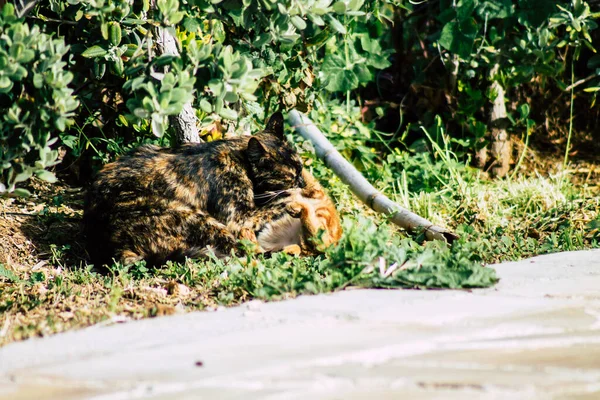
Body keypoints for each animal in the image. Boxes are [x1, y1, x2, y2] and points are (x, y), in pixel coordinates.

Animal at [83, 111, 304, 266]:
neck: (239, 157)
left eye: (301, 169)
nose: (302, 183)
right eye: (291, 177)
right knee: (243, 252)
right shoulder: (239, 218)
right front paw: (294, 197)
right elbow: (275, 204)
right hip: (195, 217)